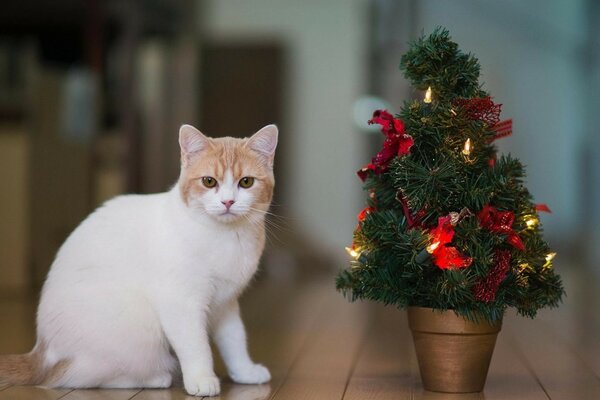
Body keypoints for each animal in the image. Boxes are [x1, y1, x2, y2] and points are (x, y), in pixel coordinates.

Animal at [0, 123, 276, 396]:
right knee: (75, 378)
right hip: (137, 332)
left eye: (246, 182)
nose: (228, 201)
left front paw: (245, 372)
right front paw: (201, 380)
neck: (227, 237)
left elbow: (235, 340)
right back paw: (156, 378)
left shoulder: (226, 304)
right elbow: (196, 347)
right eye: (209, 181)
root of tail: (42, 352)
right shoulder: (181, 304)